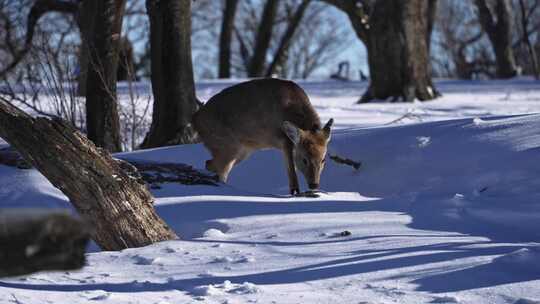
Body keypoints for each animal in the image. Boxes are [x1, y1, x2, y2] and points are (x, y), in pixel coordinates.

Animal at [192, 77, 332, 194]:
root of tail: (196, 119)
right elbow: (292, 170)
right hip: (226, 145)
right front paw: (295, 192)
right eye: (304, 159)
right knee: (216, 168)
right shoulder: (285, 141)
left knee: (212, 165)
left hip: (242, 151)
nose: (314, 185)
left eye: (323, 159)